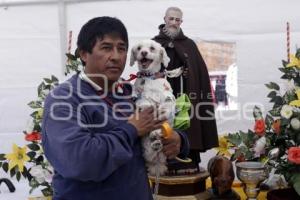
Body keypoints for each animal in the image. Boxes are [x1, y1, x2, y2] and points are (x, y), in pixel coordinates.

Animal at [130, 39, 177, 176]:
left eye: (152, 48)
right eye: (139, 48)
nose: (144, 53)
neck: (148, 77)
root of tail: (158, 161)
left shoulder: (167, 96)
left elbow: (167, 106)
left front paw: (161, 111)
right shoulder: (139, 96)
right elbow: (143, 101)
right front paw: (147, 106)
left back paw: (156, 136)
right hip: (147, 150)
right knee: (151, 152)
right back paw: (155, 143)